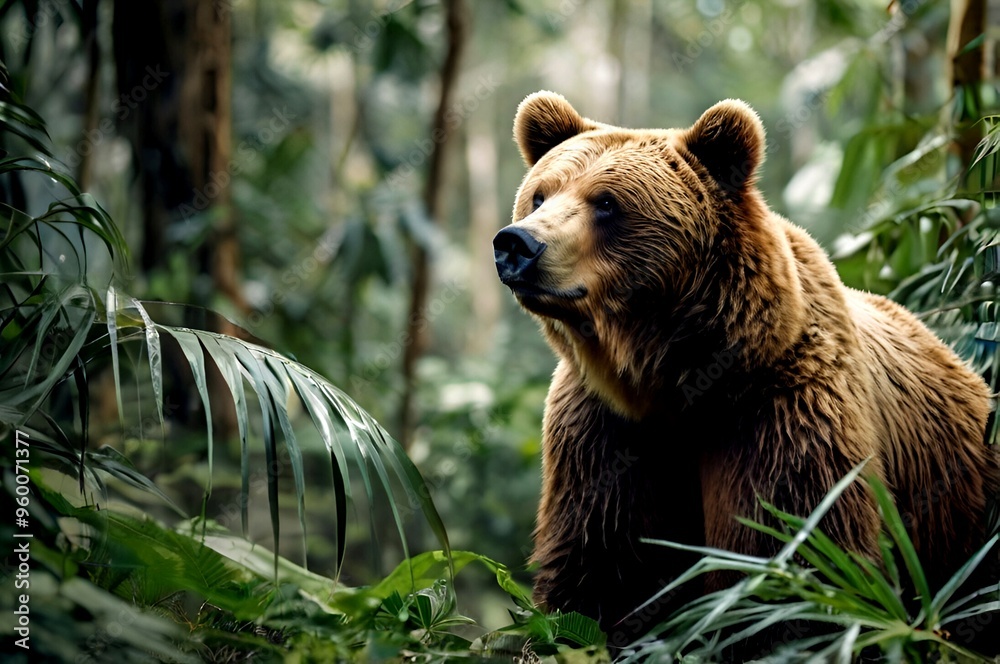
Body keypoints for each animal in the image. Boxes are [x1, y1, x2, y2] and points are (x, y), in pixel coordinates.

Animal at [493, 91, 999, 648]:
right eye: (540, 195)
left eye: (606, 202)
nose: (517, 244)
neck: (675, 379)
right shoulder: (606, 429)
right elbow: (598, 561)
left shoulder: (781, 412)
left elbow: (793, 562)